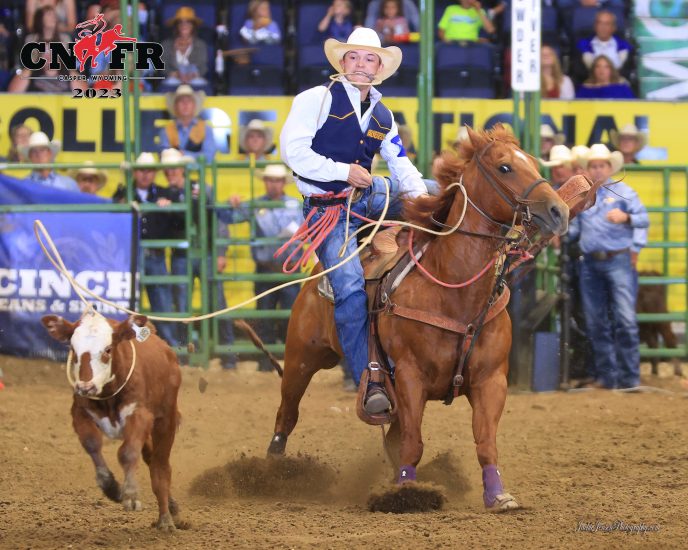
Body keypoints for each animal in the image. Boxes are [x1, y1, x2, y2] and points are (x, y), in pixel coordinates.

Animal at [41, 312, 181, 532]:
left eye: (107, 350)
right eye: (73, 349)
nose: (86, 387)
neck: (108, 395)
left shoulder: (140, 415)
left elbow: (127, 453)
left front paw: (131, 495)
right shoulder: (79, 413)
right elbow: (92, 444)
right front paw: (112, 488)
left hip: (166, 421)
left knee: (160, 466)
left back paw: (165, 519)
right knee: (150, 457)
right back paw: (171, 505)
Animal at [264, 126, 568, 512]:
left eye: (531, 160)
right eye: (504, 167)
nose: (560, 210)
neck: (453, 290)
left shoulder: (491, 381)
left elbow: (484, 441)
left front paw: (498, 495)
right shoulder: (410, 376)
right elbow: (413, 442)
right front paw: (406, 493)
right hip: (301, 358)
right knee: (286, 414)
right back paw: (270, 473)